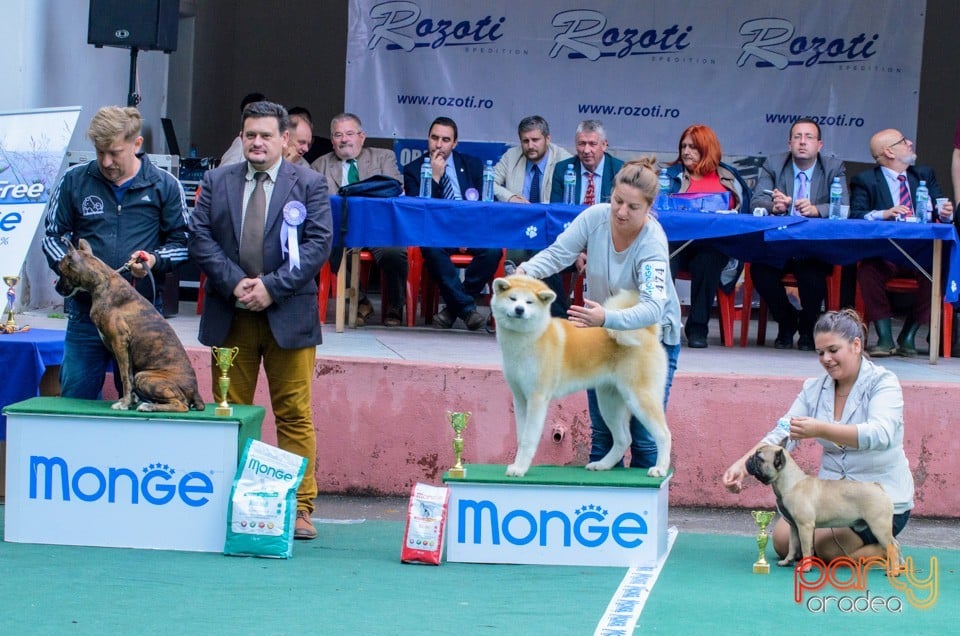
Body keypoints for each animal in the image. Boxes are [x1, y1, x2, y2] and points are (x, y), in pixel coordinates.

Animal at [56, 238, 204, 412]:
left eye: (60, 270)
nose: (56, 288)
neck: (102, 282)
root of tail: (195, 391)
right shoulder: (123, 349)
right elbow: (128, 376)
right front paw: (130, 400)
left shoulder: (119, 342)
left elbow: (125, 377)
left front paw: (125, 403)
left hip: (145, 376)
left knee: (181, 404)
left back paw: (149, 406)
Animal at [496, 274, 668, 476]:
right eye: (512, 299)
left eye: (529, 302)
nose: (519, 309)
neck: (532, 337)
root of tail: (648, 332)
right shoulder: (520, 398)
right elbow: (521, 438)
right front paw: (518, 465)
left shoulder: (537, 399)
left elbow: (528, 439)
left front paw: (520, 469)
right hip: (609, 403)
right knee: (624, 439)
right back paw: (602, 464)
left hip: (640, 398)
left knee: (663, 434)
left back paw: (660, 468)